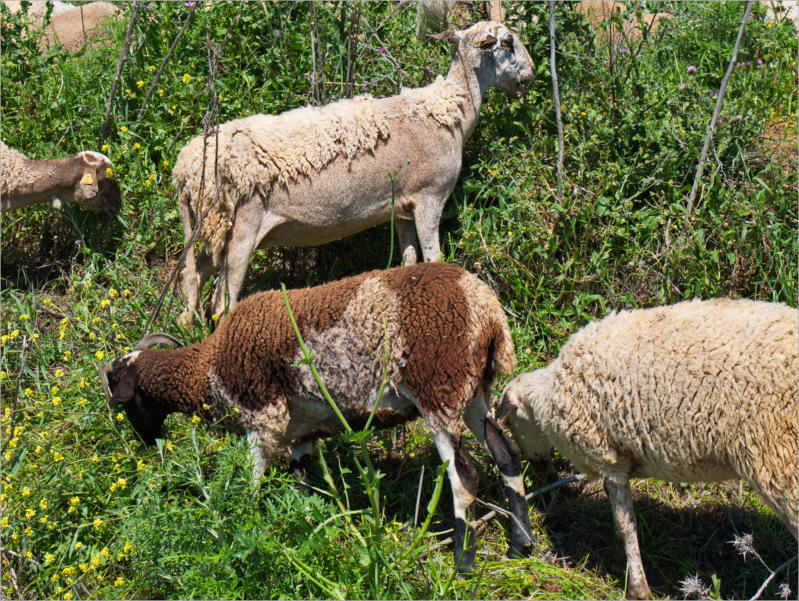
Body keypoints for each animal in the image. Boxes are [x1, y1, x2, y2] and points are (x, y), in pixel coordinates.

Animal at [99, 262, 536, 571]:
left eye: (124, 398)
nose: (145, 442)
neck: (208, 368)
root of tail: (486, 310)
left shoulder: (263, 420)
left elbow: (251, 485)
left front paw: (247, 529)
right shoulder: (302, 432)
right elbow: (302, 484)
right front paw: (307, 529)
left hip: (438, 388)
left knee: (464, 477)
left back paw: (463, 564)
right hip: (473, 391)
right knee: (506, 454)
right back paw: (521, 546)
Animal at [172, 20, 534, 324]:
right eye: (508, 41)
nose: (531, 74)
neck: (450, 112)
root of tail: (185, 171)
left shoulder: (402, 208)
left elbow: (409, 261)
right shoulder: (429, 197)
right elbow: (434, 259)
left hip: (212, 225)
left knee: (193, 274)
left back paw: (186, 328)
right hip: (241, 226)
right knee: (222, 301)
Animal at [498, 298, 798, 599]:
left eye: (511, 423)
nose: (540, 472)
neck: (550, 398)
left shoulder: (607, 458)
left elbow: (626, 524)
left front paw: (638, 588)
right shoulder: (618, 461)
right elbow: (617, 518)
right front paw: (618, 562)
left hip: (780, 459)